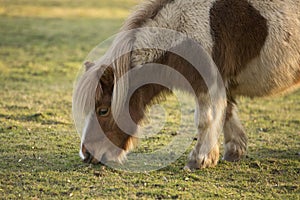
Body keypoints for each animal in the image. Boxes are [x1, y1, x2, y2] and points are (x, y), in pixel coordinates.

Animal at [73, 0, 300, 170]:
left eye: (103, 110)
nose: (86, 155)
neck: (184, 30)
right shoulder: (221, 86)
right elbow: (227, 113)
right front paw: (233, 151)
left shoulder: (207, 84)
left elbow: (205, 120)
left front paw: (198, 160)